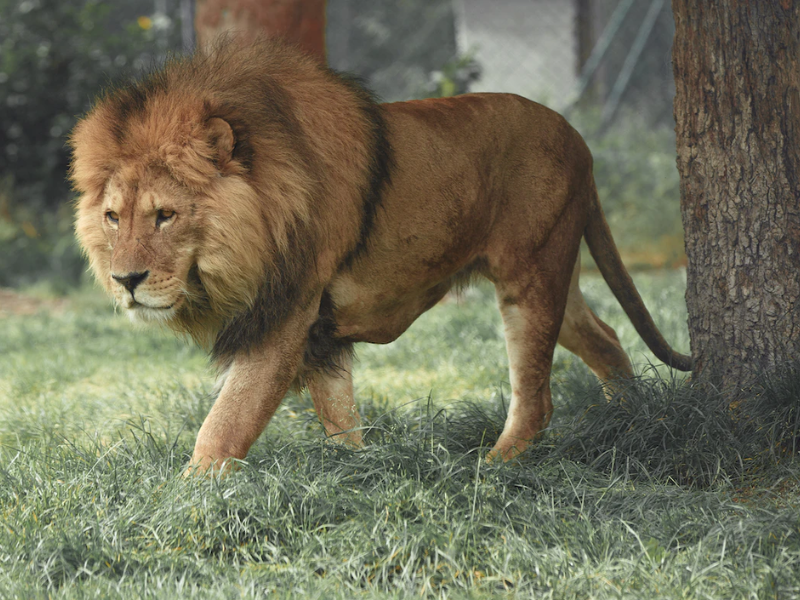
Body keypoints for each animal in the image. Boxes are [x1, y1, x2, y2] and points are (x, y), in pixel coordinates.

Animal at [70, 38, 691, 472]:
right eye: (113, 217)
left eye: (165, 215)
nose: (126, 280)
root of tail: (578, 138)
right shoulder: (317, 332)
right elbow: (339, 416)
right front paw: (361, 472)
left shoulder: (285, 315)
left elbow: (227, 422)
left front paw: (186, 496)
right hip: (554, 268)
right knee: (604, 336)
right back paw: (631, 420)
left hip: (531, 273)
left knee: (536, 397)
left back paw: (491, 469)